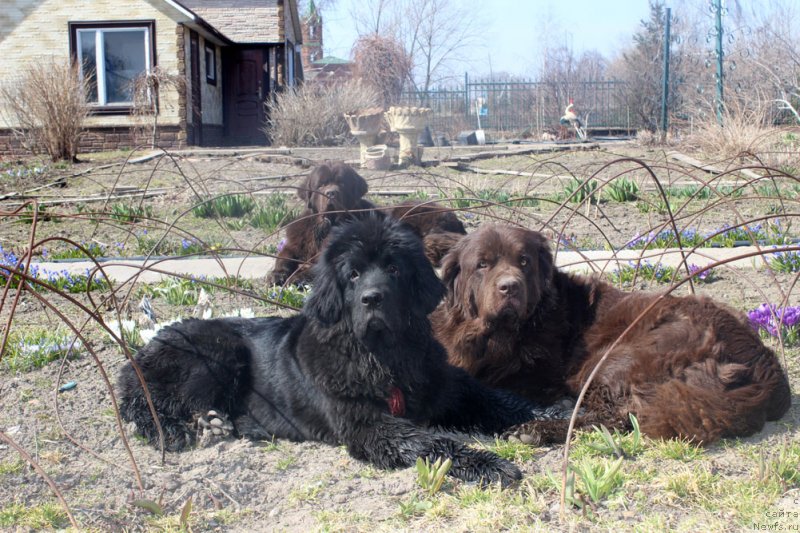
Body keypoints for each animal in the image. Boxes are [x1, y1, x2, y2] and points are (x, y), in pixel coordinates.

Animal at [119, 215, 556, 482]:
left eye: (394, 269)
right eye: (353, 274)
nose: (373, 299)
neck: (384, 357)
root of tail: (148, 344)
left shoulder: (447, 386)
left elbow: (499, 400)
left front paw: (551, 417)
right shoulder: (367, 424)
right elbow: (433, 442)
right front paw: (490, 464)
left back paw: (218, 422)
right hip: (218, 348)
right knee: (144, 404)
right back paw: (178, 429)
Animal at [432, 222, 788, 442]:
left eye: (524, 262)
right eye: (482, 264)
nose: (510, 287)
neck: (498, 333)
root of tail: (765, 362)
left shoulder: (534, 377)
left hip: (615, 356)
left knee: (616, 416)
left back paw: (535, 429)